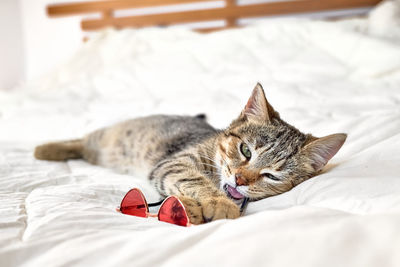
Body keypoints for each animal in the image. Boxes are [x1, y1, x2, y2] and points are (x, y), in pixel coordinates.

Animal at [34, 84, 346, 224]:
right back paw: (44, 148)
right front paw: (216, 202)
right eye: (245, 150)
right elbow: (194, 180)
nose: (240, 179)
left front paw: (189, 208)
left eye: (272, 175)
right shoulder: (176, 162)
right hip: (105, 138)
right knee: (81, 140)